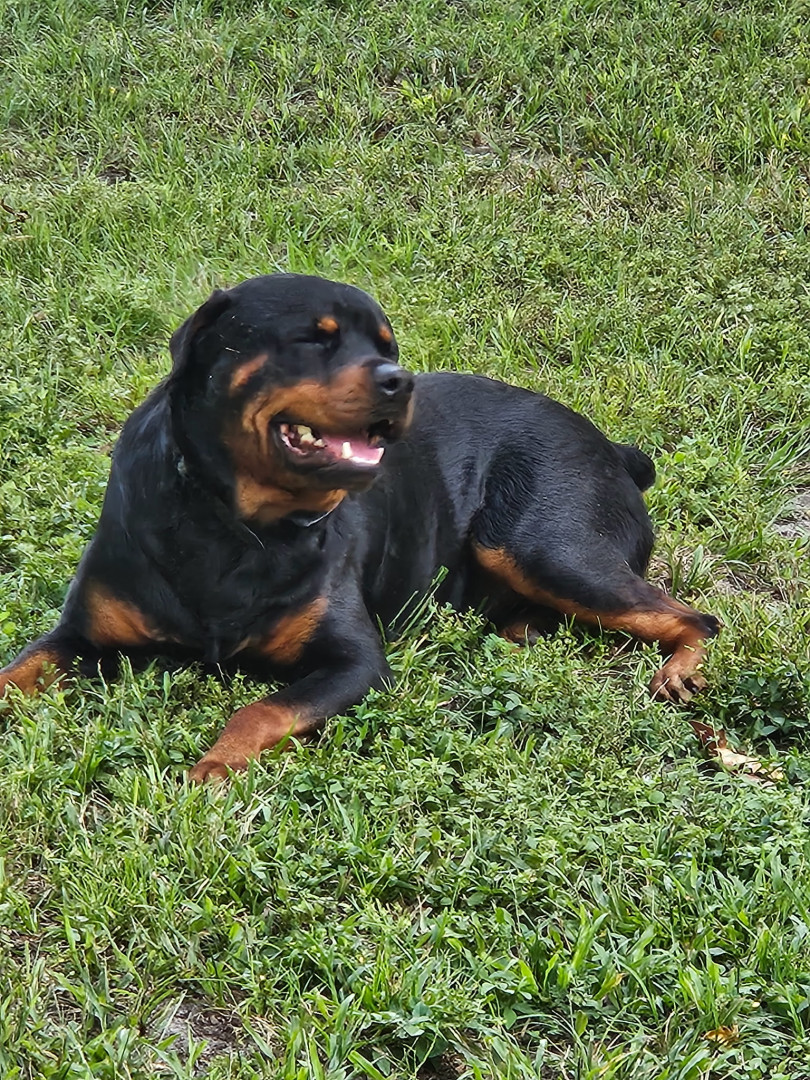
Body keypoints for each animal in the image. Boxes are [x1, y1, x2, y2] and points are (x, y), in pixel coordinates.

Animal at [0, 274, 720, 781]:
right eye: (311, 339)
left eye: (386, 345)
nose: (400, 380)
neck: (232, 524)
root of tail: (614, 448)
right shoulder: (79, 636)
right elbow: (17, 671)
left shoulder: (355, 662)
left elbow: (262, 707)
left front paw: (216, 766)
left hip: (541, 544)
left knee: (696, 618)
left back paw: (679, 669)